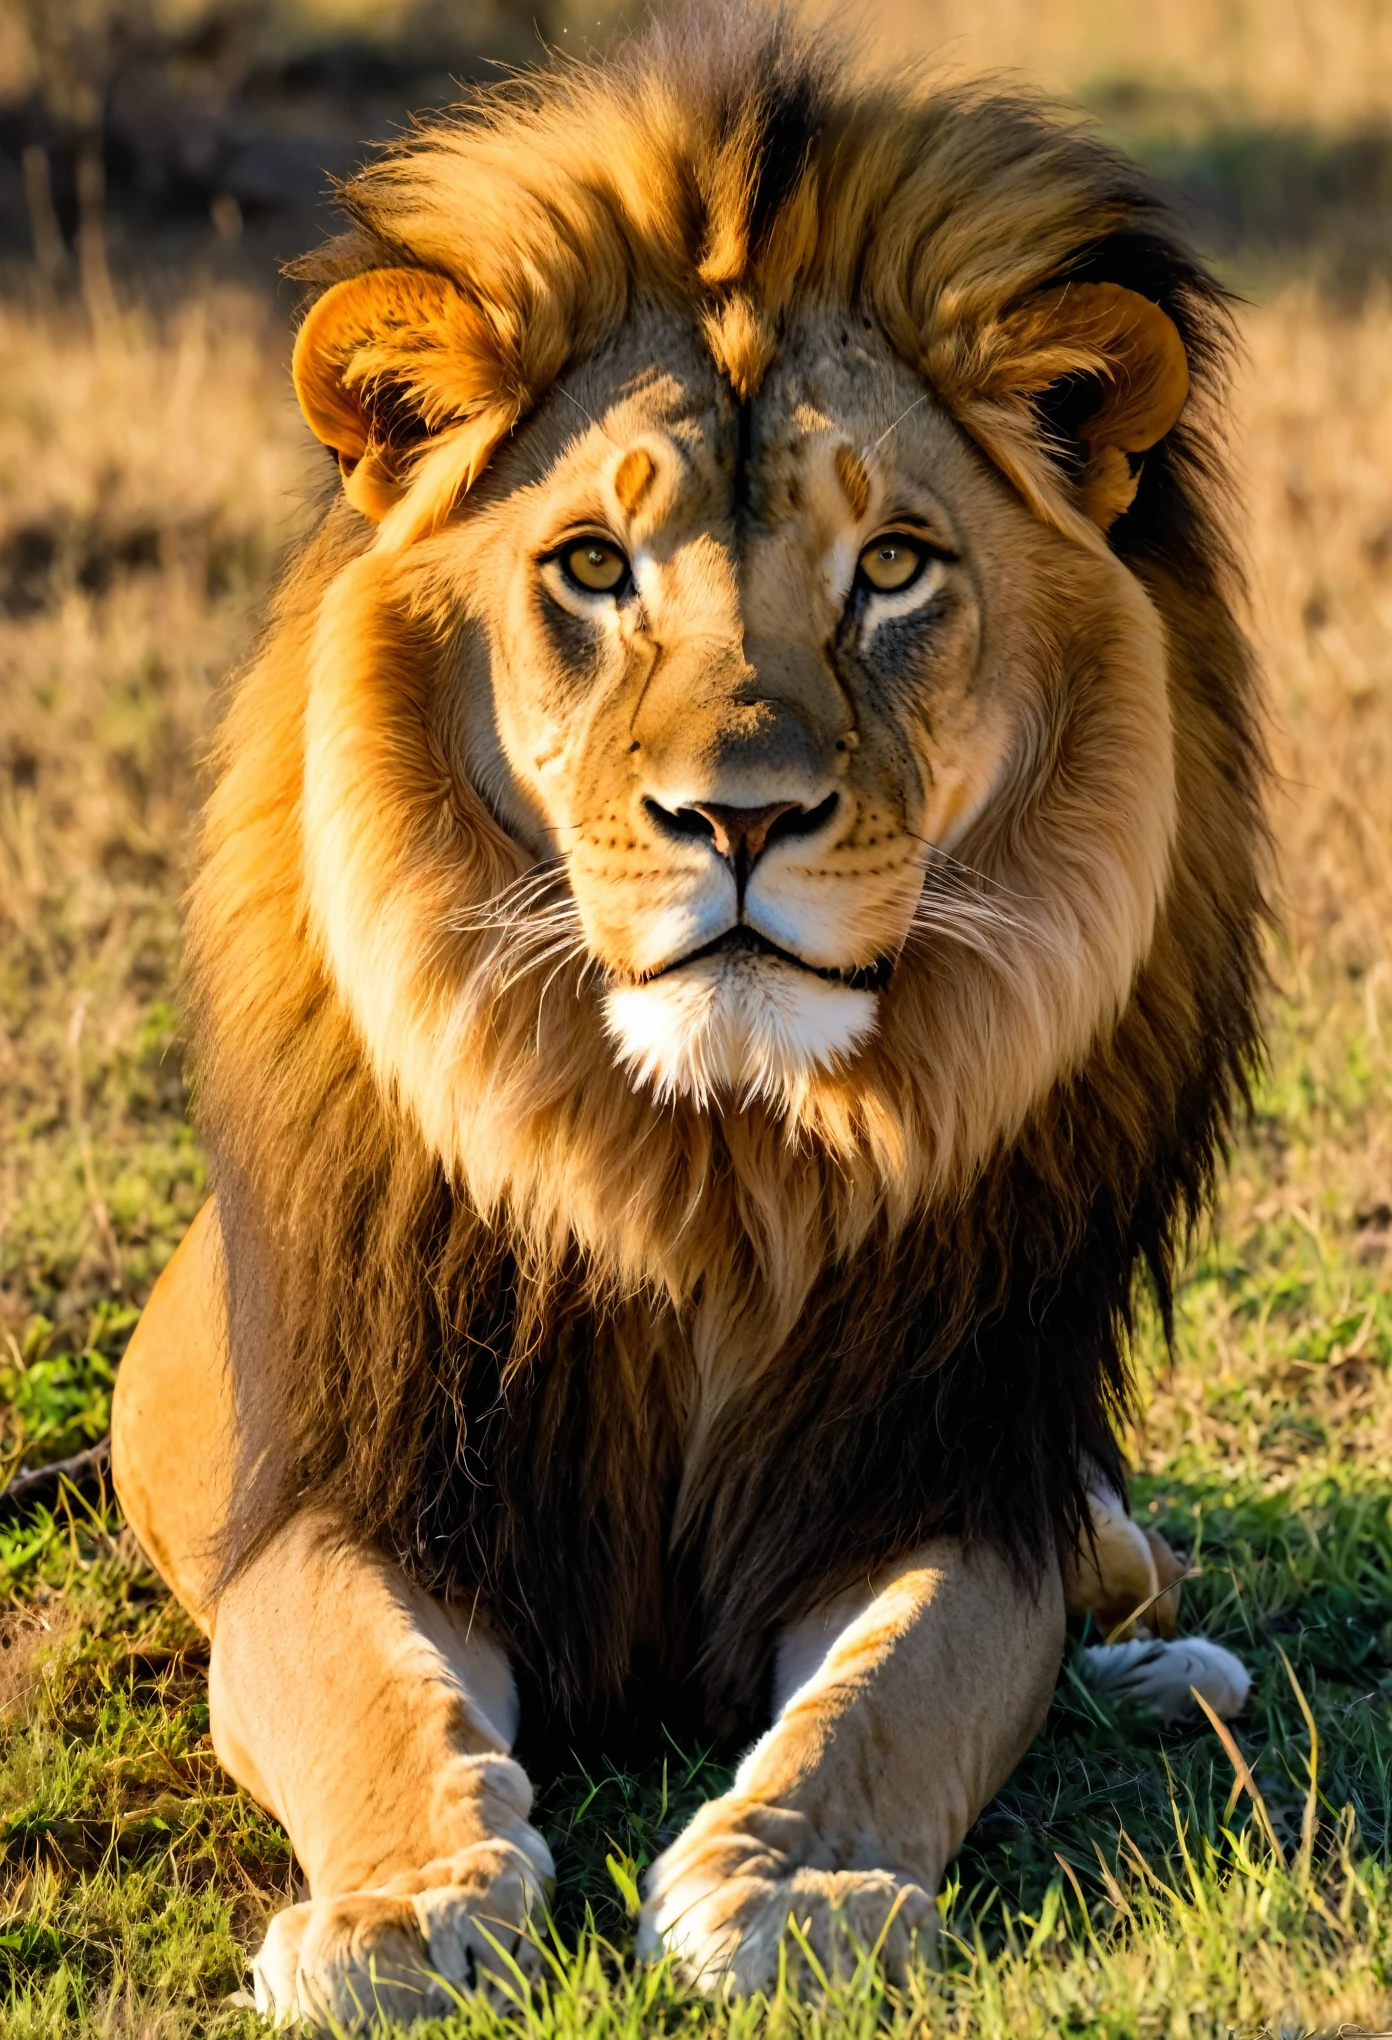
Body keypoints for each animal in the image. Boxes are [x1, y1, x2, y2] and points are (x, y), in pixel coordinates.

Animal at [108, 7, 1257, 2023]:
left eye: (893, 565)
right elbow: (367, 1698)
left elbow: (904, 1688)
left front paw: (787, 1886)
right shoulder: (346, 1498)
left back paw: (1159, 1673)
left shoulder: (932, 1478)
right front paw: (403, 1912)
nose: (739, 818)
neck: (706, 1163)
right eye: (590, 565)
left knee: (1116, 1570)